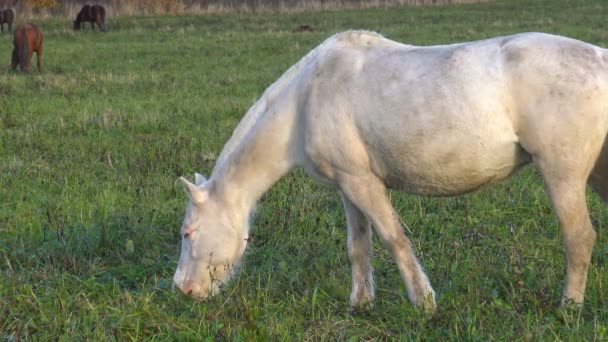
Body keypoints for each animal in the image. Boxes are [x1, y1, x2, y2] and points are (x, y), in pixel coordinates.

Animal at [172, 30, 608, 312]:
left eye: (188, 233)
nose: (183, 290)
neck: (305, 100)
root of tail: (601, 58)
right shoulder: (347, 186)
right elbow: (359, 245)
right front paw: (361, 303)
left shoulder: (364, 183)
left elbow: (394, 238)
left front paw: (424, 303)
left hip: (562, 174)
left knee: (579, 237)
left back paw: (568, 307)